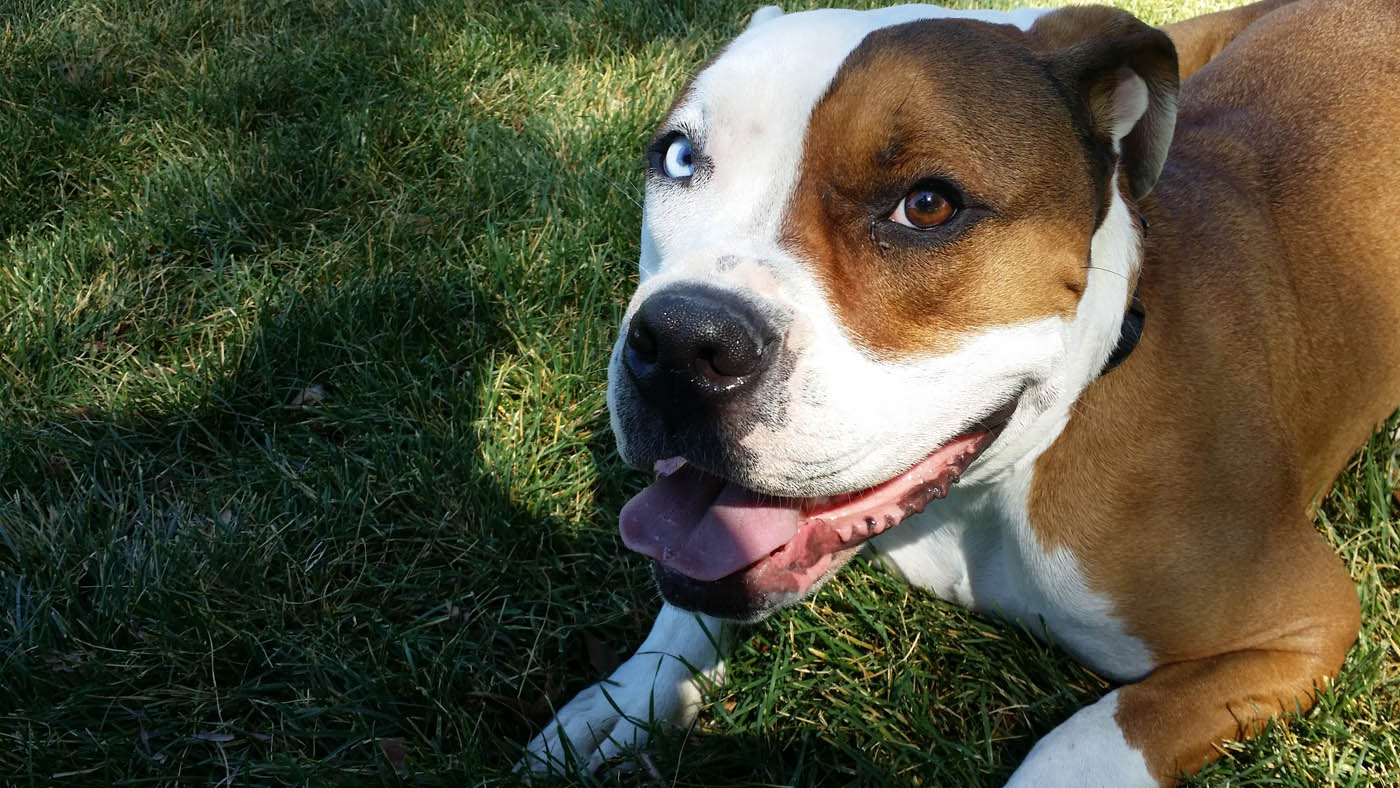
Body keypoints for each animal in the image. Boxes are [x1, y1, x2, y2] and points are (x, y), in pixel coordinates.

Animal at [518, 3, 1400, 783]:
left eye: (928, 205)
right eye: (677, 158)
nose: (678, 344)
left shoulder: (1304, 624)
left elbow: (1082, 742)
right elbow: (689, 589)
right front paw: (628, 696)